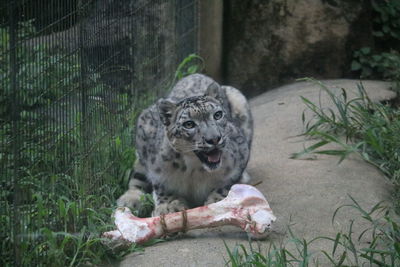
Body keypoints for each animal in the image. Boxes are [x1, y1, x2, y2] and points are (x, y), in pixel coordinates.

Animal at [116, 74, 253, 217]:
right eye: (189, 124)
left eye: (217, 115)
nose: (214, 139)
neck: (195, 170)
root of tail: (196, 74)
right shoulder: (155, 168)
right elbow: (161, 186)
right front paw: (169, 206)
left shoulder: (241, 154)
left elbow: (228, 182)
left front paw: (216, 200)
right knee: (136, 178)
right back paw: (129, 200)